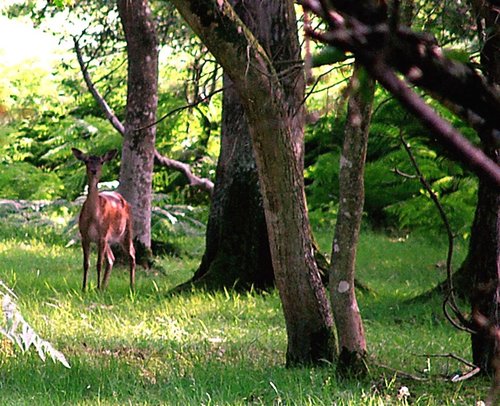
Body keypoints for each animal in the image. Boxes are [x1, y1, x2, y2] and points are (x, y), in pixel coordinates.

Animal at [71, 149, 136, 292]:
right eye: (86, 161)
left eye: (101, 162)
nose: (94, 170)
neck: (94, 217)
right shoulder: (85, 236)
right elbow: (86, 263)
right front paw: (84, 288)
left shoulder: (102, 235)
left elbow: (98, 264)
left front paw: (95, 286)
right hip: (108, 239)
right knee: (111, 258)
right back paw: (103, 287)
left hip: (126, 230)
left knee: (132, 254)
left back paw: (131, 286)